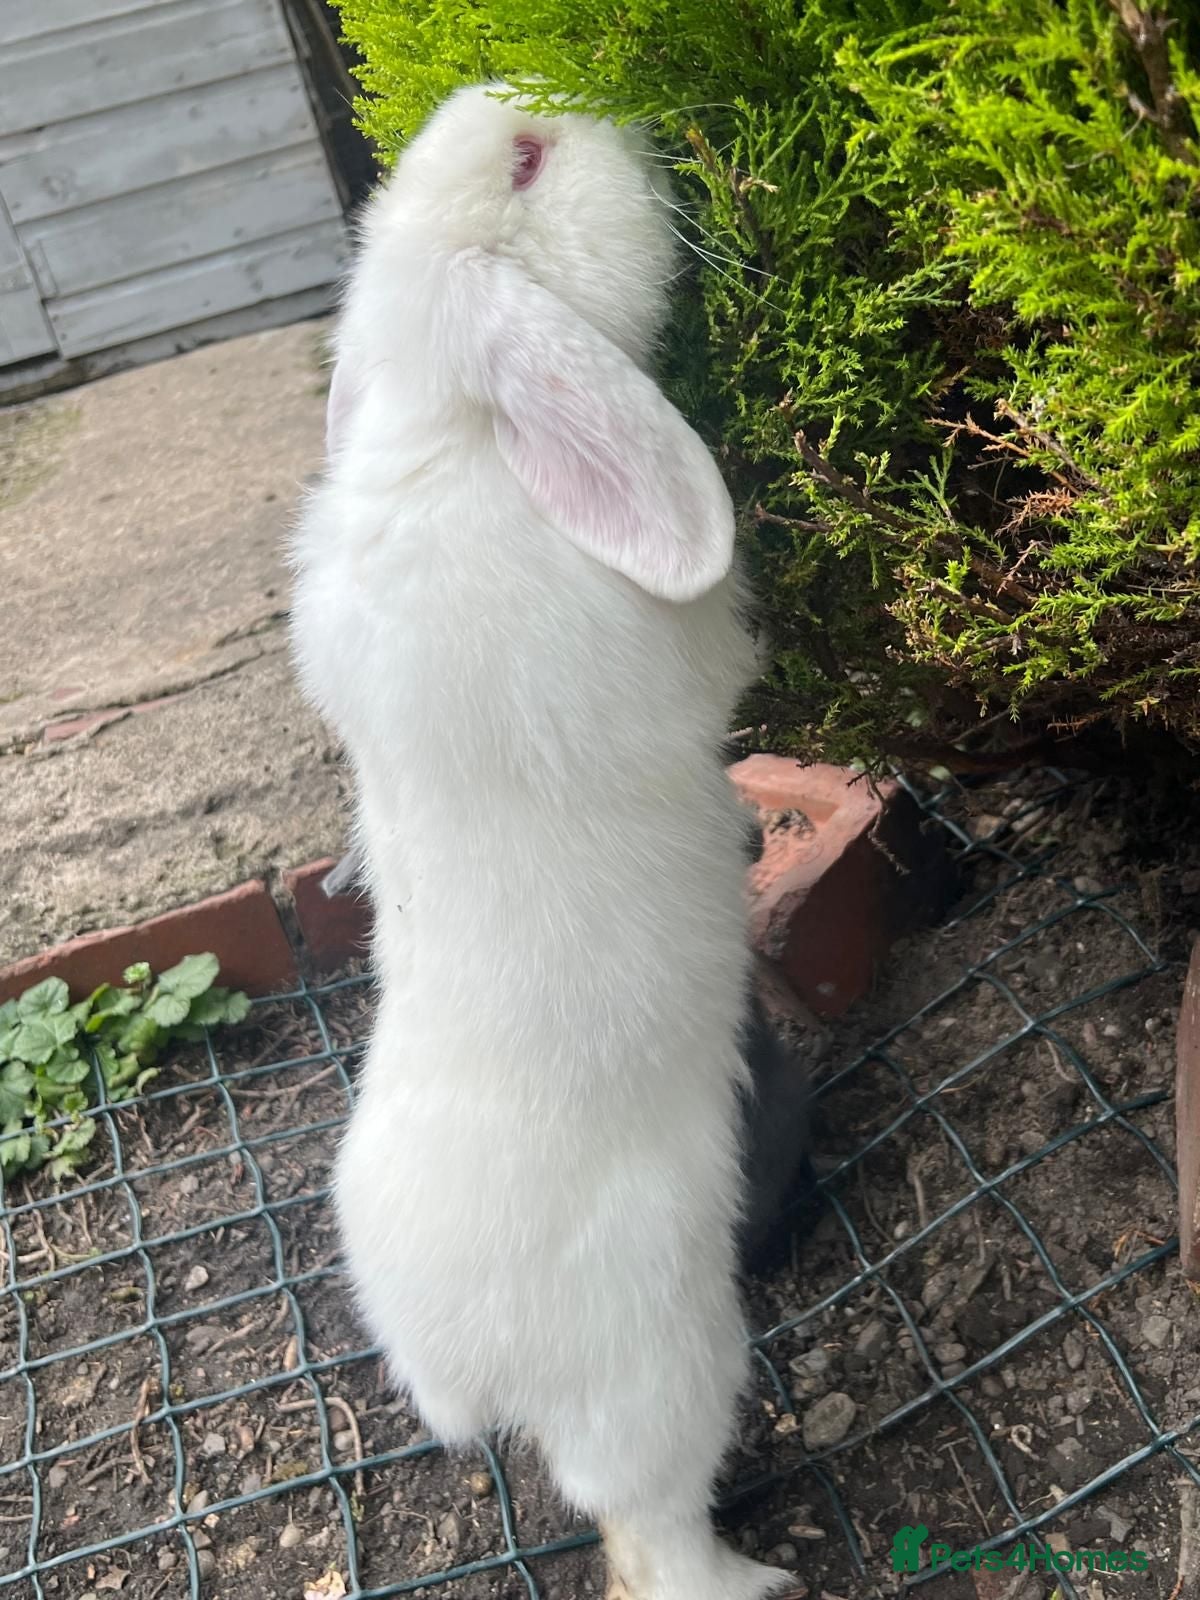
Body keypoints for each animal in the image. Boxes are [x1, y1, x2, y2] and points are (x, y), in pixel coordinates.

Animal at [289, 84, 803, 1600]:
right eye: (526, 163)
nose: (597, 116)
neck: (451, 436)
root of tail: (448, 1358)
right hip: (668, 1368)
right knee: (647, 1528)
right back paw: (756, 1577)